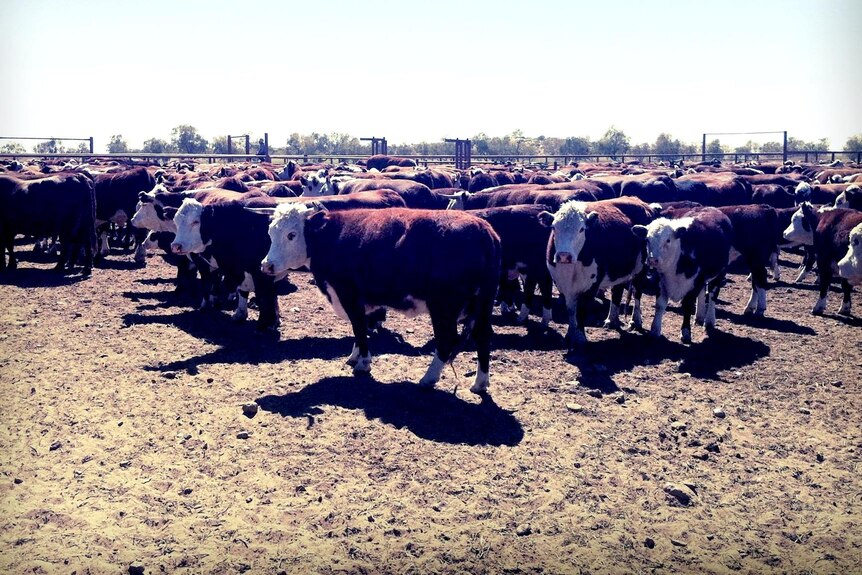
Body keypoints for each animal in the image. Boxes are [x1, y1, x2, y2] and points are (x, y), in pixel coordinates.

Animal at [260, 205, 502, 394]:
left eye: (291, 234)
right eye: (270, 233)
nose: (266, 265)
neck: (331, 237)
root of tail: (484, 230)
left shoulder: (348, 294)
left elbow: (358, 326)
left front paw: (363, 363)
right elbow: (360, 327)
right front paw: (355, 355)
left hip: (443, 307)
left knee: (446, 340)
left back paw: (428, 379)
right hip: (482, 304)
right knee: (483, 335)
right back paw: (480, 383)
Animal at [540, 197, 656, 352]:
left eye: (581, 229)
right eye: (554, 228)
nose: (564, 255)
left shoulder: (591, 285)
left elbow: (581, 310)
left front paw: (580, 338)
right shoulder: (562, 283)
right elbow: (571, 310)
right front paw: (570, 334)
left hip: (641, 269)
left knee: (637, 293)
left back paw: (635, 321)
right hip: (618, 269)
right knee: (617, 292)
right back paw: (611, 320)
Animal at [632, 207, 732, 342]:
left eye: (668, 240)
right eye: (647, 240)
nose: (652, 260)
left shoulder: (696, 281)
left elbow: (688, 305)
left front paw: (686, 332)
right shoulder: (661, 281)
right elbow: (660, 305)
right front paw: (655, 330)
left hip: (720, 272)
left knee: (712, 294)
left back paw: (709, 320)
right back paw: (700, 316)